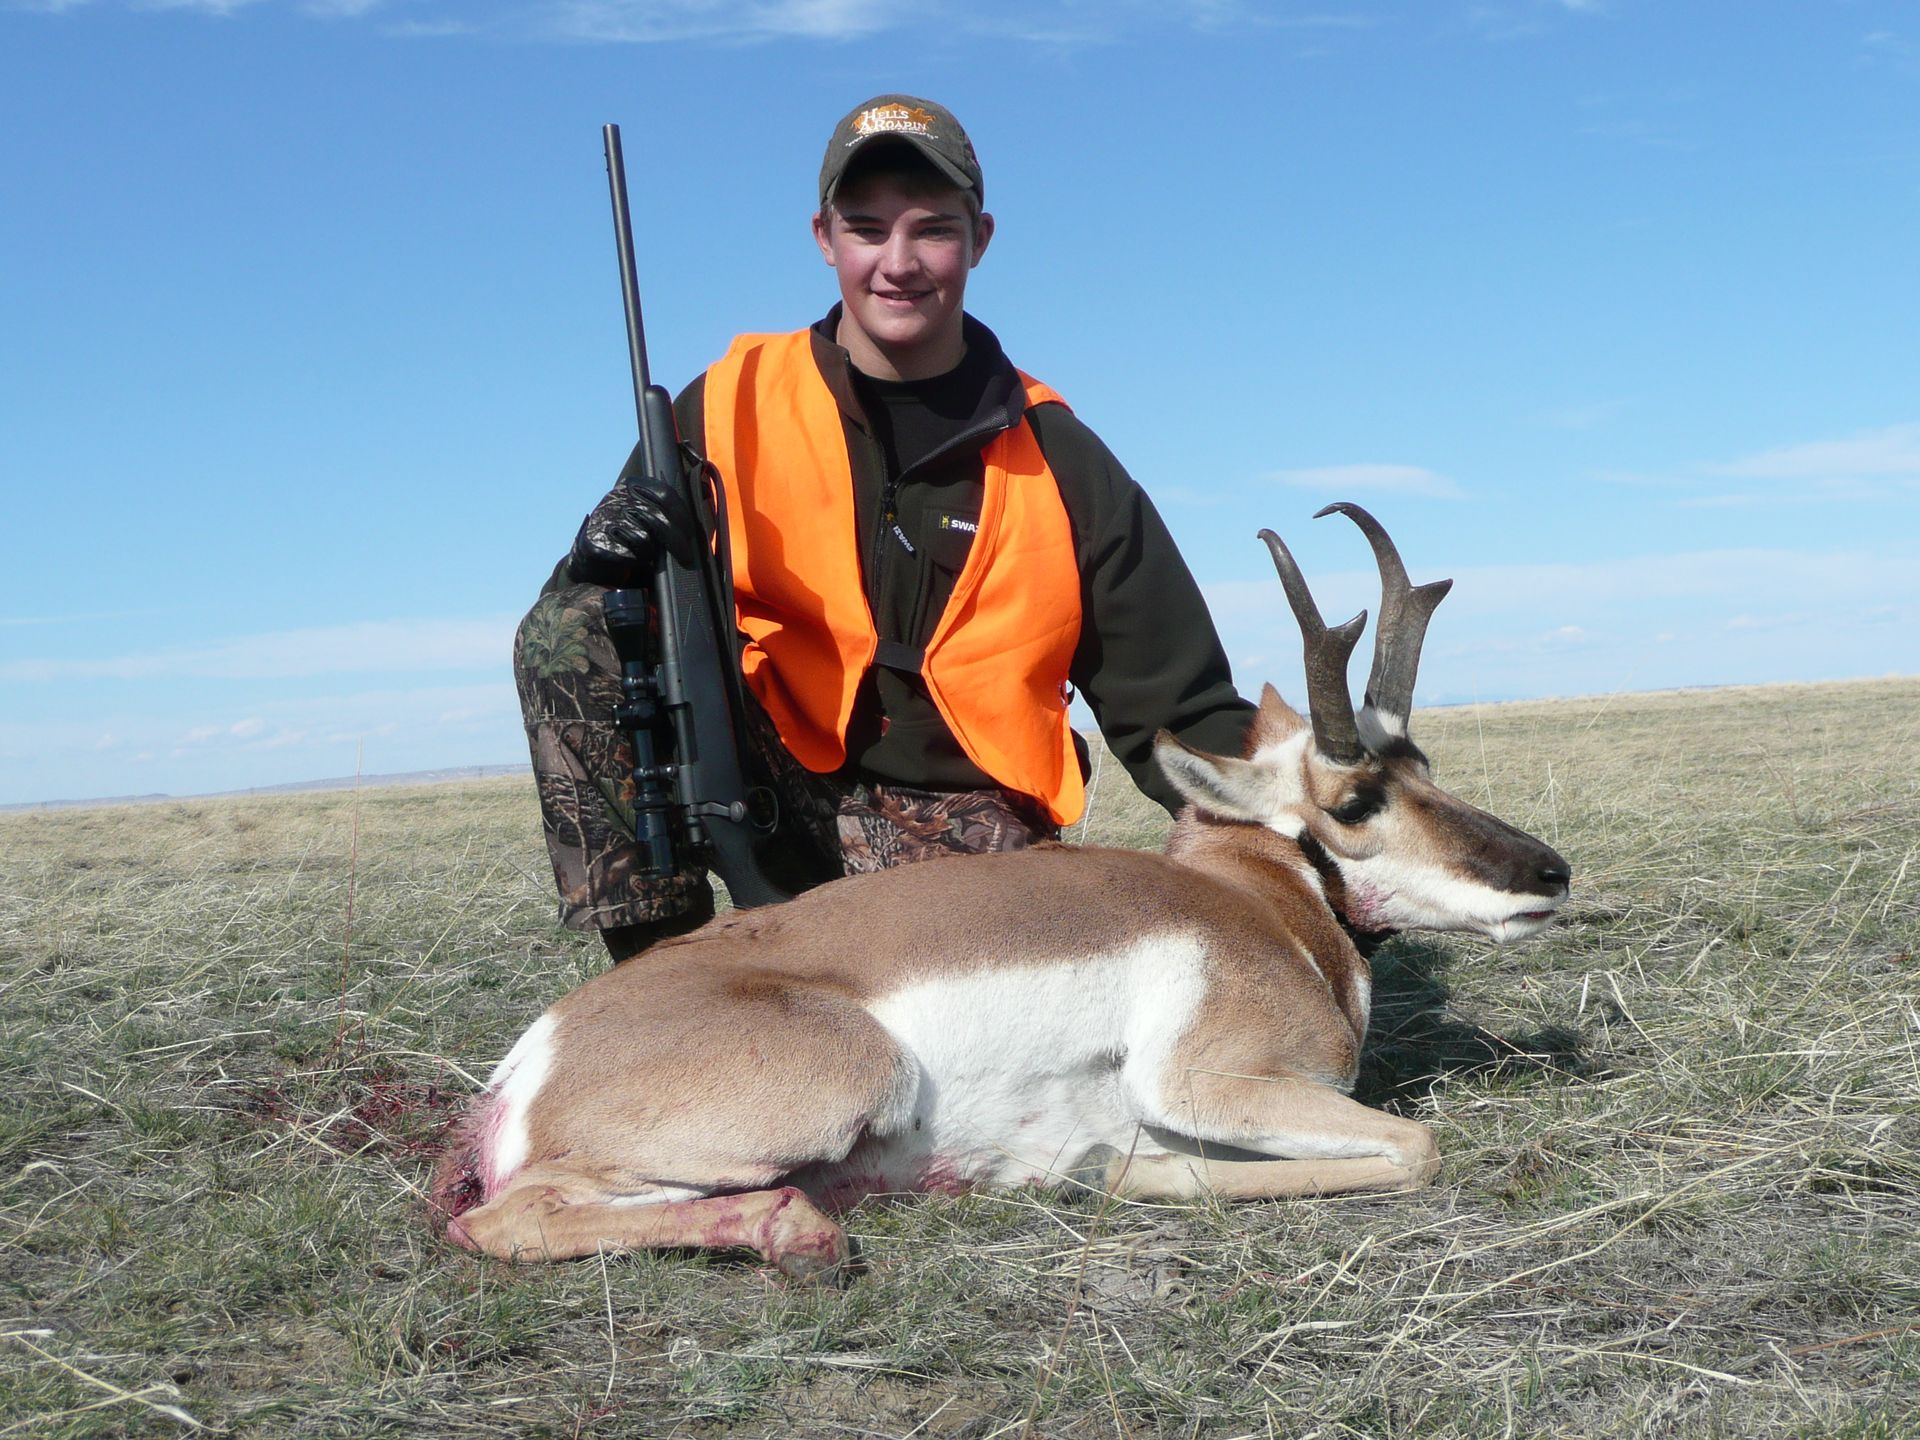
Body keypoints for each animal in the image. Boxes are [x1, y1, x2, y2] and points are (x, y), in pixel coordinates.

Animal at [432, 504, 1571, 1279]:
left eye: (1425, 767)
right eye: (1356, 800)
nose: (1549, 874)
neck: (1255, 901)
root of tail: (534, 1059)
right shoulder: (1206, 1084)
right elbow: (1415, 1147)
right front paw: (1119, 1171)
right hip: (850, 1077)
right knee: (501, 1218)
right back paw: (796, 1232)